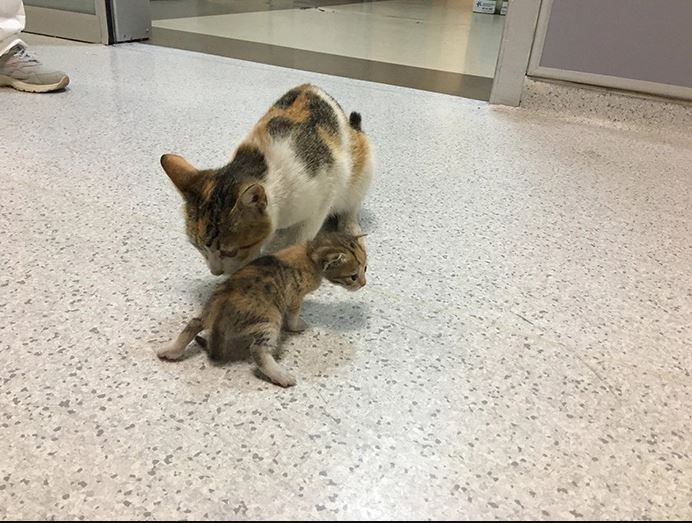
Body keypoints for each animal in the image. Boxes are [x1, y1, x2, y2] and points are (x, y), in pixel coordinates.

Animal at [157, 231, 368, 386]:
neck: (310, 254)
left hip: (209, 308)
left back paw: (170, 350)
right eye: (353, 276)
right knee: (258, 351)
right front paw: (297, 325)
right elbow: (293, 315)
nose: (364, 284)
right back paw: (282, 376)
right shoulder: (294, 297)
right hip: (269, 319)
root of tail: (219, 313)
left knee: (193, 323)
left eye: (365, 268)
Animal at [161, 84, 374, 276]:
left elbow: (300, 236)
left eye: (230, 251)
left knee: (350, 206)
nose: (216, 272)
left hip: (363, 170)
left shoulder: (323, 194)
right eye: (199, 248)